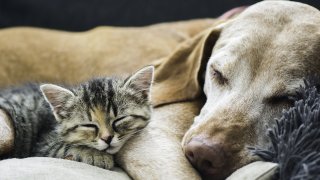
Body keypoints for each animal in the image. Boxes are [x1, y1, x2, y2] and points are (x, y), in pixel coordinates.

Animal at [0, 66, 154, 169]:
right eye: (89, 125)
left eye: (119, 120)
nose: (107, 138)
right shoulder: (42, 145)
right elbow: (68, 146)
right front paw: (98, 155)